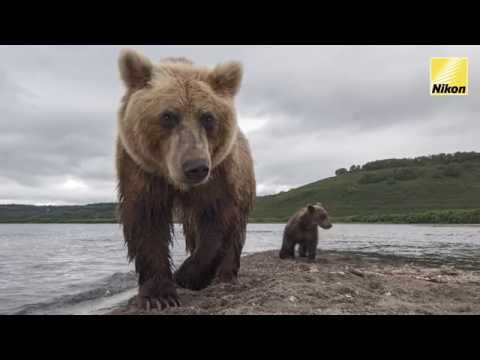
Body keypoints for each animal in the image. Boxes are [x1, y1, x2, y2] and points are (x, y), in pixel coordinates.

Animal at [115, 49, 255, 310]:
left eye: (208, 117)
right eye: (168, 116)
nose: (195, 168)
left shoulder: (219, 173)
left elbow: (217, 219)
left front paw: (188, 275)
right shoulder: (141, 171)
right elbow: (147, 222)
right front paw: (159, 295)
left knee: (236, 229)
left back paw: (226, 274)